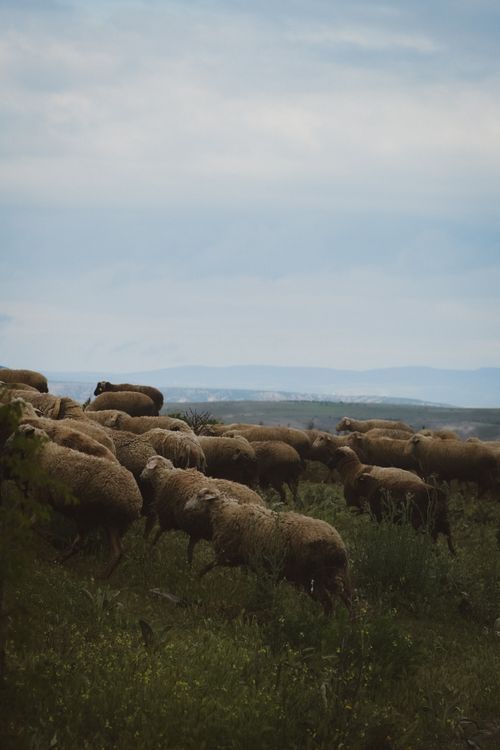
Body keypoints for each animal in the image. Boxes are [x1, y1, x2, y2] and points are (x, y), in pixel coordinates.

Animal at [19, 425, 142, 577]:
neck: (44, 452)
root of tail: (135, 503)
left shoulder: (41, 494)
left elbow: (32, 519)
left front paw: (28, 529)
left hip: (88, 516)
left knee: (81, 543)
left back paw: (58, 559)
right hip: (111, 523)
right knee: (117, 551)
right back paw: (101, 575)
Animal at [186, 488, 352, 615]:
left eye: (199, 496)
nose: (185, 507)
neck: (226, 512)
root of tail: (338, 544)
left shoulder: (228, 555)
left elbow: (208, 566)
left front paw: (195, 579)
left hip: (312, 577)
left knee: (328, 602)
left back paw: (326, 622)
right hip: (336, 572)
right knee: (347, 598)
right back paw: (351, 622)